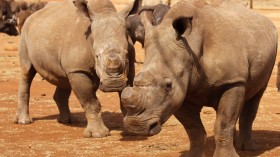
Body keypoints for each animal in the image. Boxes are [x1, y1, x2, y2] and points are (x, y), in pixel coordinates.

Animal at [14, 0, 141, 137]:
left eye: (126, 55)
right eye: (97, 56)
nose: (114, 84)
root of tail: (33, 15)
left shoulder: (130, 67)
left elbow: (125, 98)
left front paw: (131, 130)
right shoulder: (78, 70)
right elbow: (91, 102)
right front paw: (98, 134)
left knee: (63, 79)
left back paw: (66, 121)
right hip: (25, 34)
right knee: (27, 72)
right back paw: (24, 121)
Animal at [121, 0, 276, 156]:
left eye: (168, 86)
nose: (136, 127)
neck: (190, 47)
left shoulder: (233, 81)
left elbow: (224, 123)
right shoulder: (180, 91)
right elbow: (194, 129)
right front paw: (193, 154)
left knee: (256, 95)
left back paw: (249, 148)